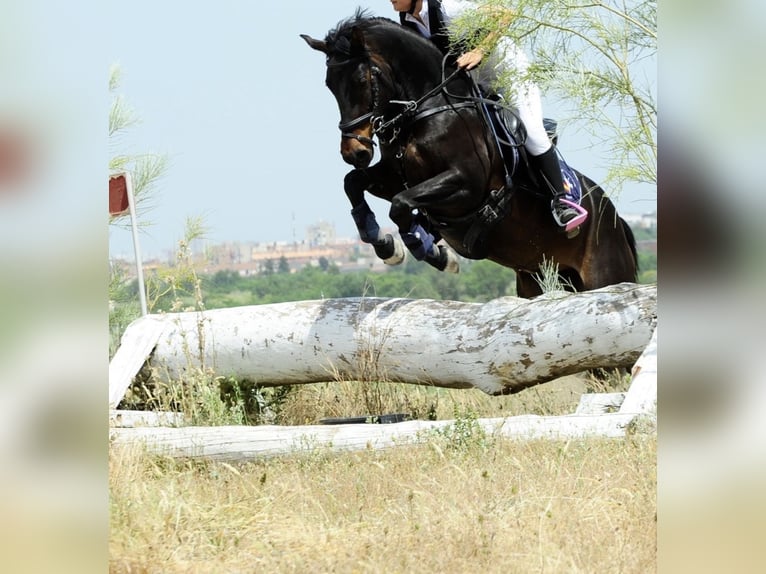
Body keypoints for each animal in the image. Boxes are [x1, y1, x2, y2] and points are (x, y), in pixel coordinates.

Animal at [301, 10, 637, 298]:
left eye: (361, 80)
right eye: (330, 85)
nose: (353, 151)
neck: (427, 109)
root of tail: (618, 220)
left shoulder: (466, 185)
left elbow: (400, 205)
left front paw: (426, 249)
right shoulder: (395, 177)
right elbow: (354, 183)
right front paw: (385, 243)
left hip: (605, 275)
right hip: (535, 279)